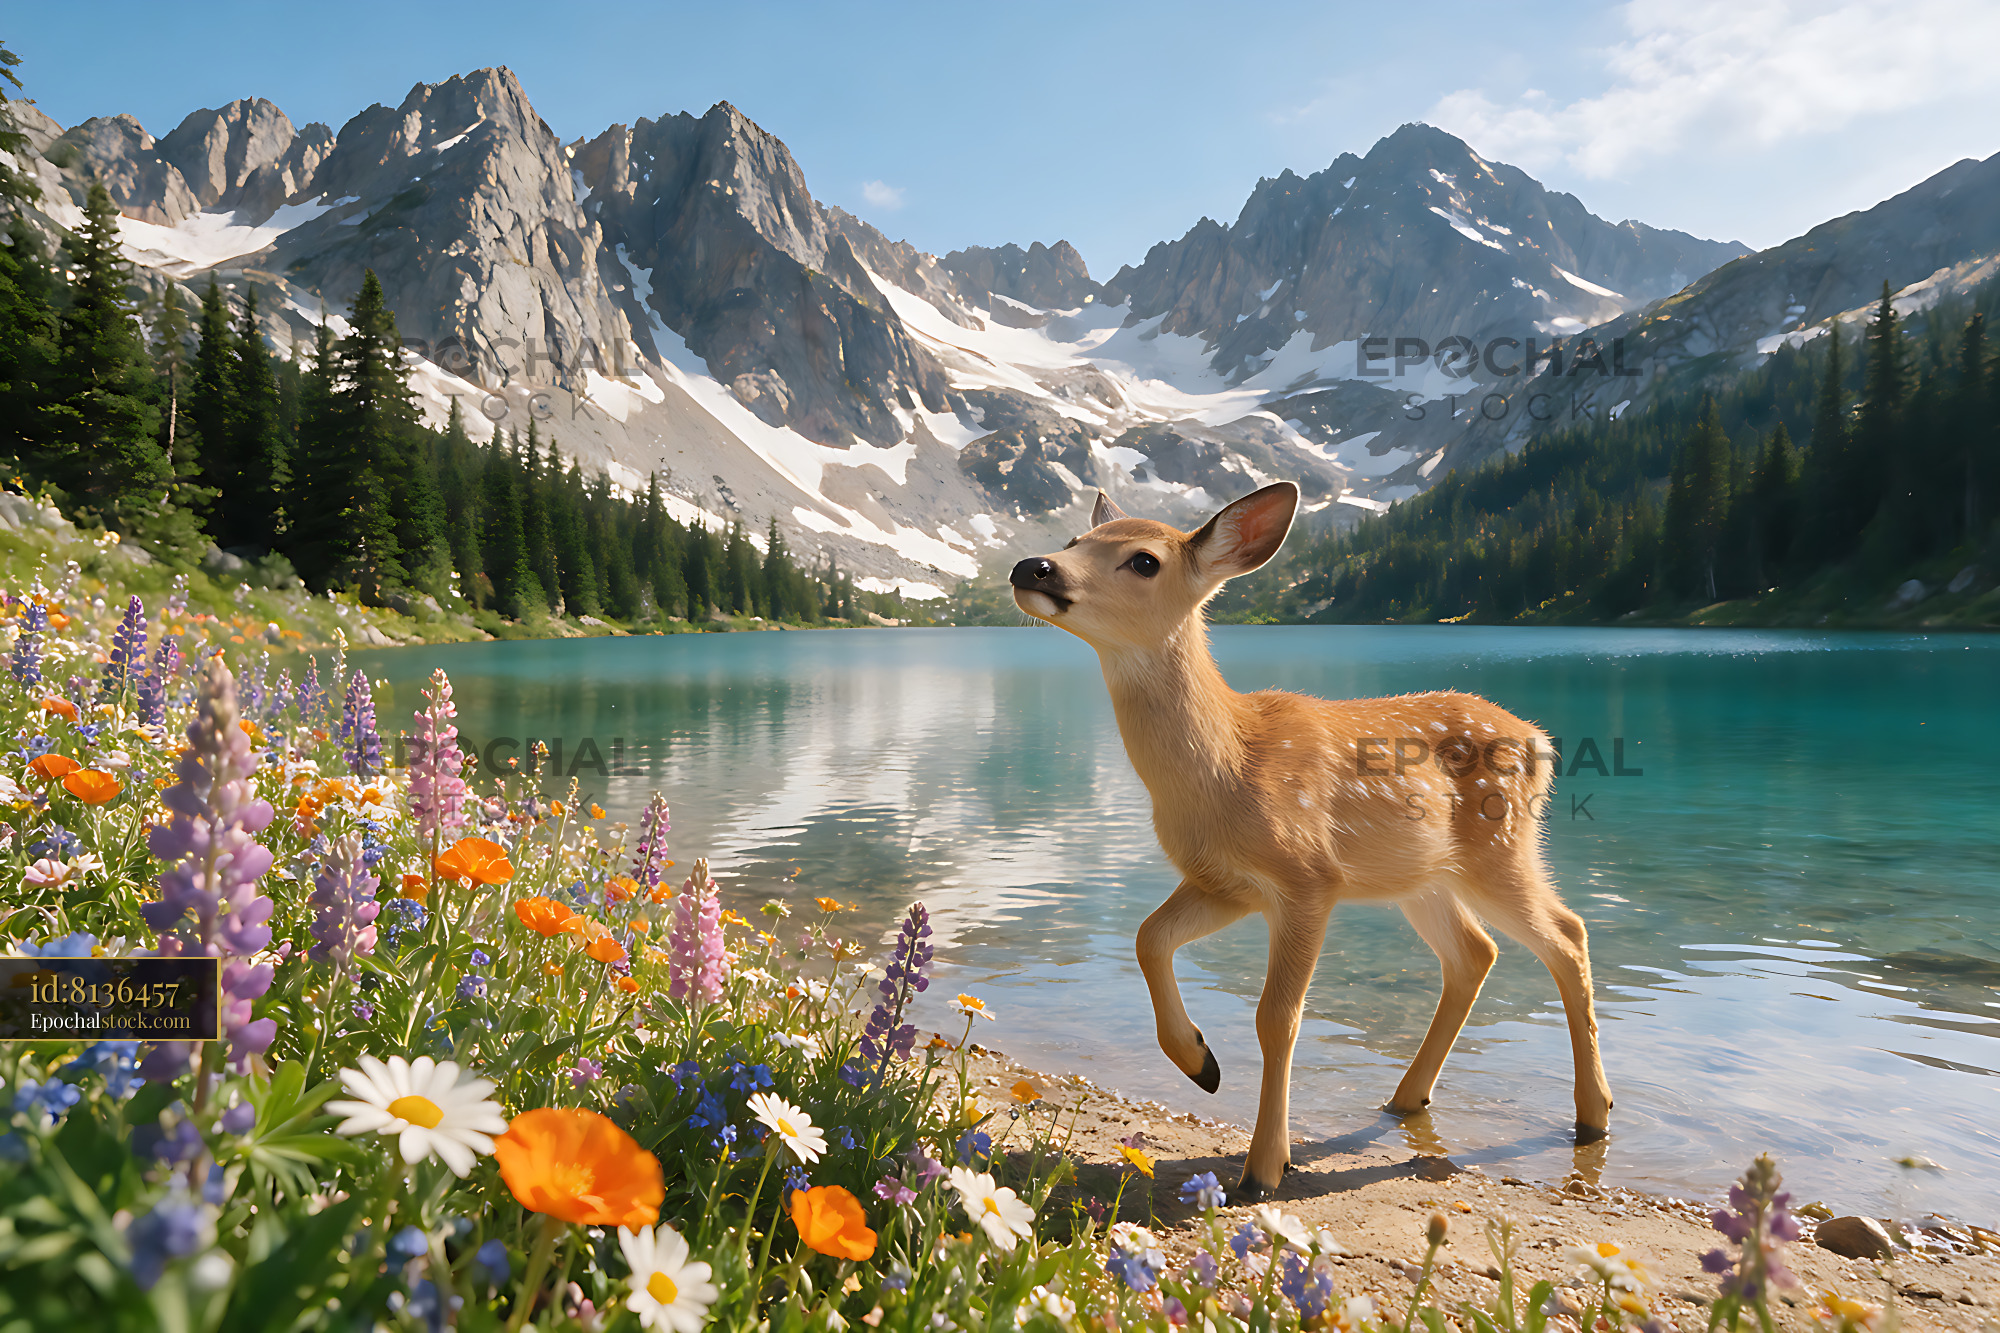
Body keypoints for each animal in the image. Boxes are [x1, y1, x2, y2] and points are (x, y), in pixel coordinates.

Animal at [1009, 481, 1612, 1201]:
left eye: (1145, 560)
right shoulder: (1225, 881)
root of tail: (1541, 742)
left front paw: (1264, 1166)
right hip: (1420, 876)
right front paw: (1200, 1061)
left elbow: (1277, 1017)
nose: (1033, 567)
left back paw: (1593, 1115)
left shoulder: (1308, 879)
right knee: (1475, 951)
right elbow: (1147, 937)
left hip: (1499, 847)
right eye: (1075, 539)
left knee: (1568, 934)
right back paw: (1407, 1097)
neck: (1229, 767)